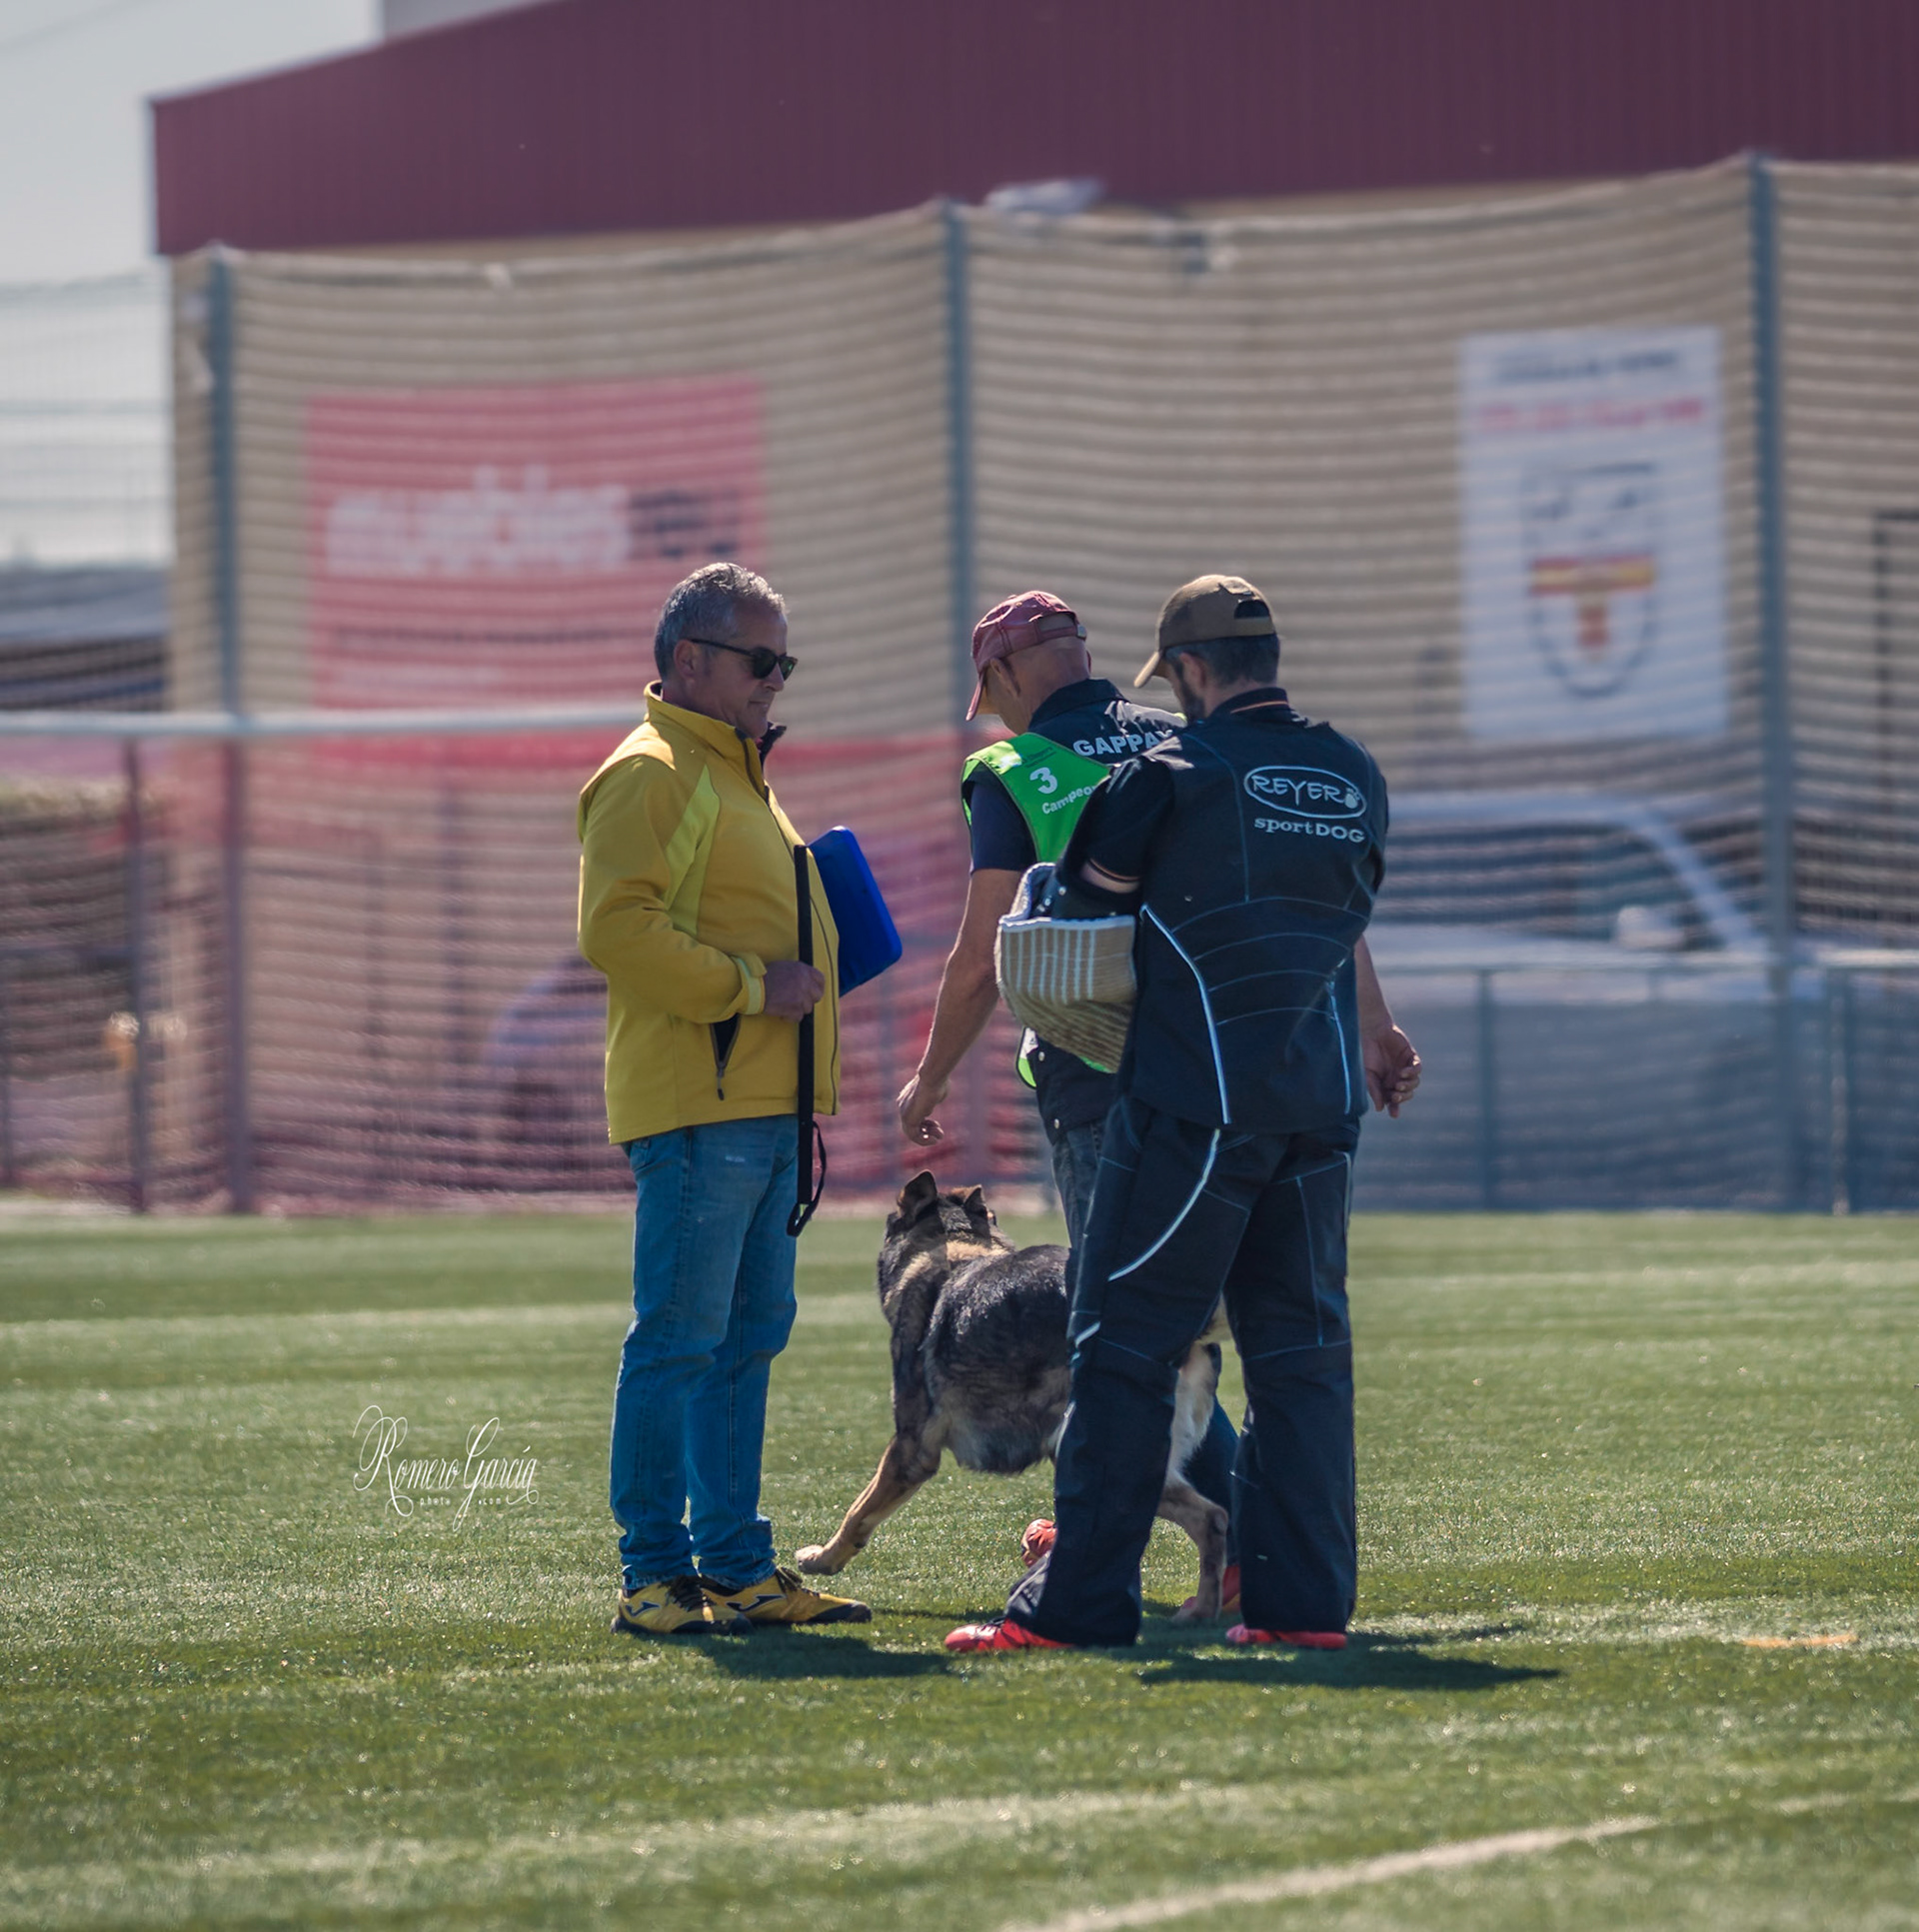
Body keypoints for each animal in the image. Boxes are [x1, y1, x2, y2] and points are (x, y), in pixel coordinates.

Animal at [794, 1171, 1231, 1620]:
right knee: (1214, 1519)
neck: (955, 1248)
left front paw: (822, 1559)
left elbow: (858, 1510)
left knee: (1204, 1517)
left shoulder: (911, 1448)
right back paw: (1203, 1610)